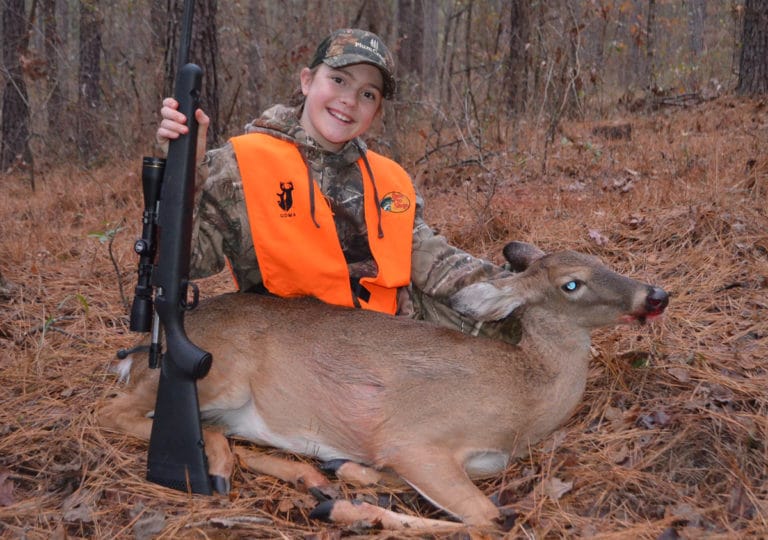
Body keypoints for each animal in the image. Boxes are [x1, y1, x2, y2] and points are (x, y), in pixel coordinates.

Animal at [97, 241, 668, 531]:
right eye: (572, 283)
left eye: (601, 261)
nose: (656, 294)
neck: (525, 398)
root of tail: (140, 353)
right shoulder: (414, 439)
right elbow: (487, 520)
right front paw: (352, 511)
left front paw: (346, 476)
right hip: (220, 375)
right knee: (115, 412)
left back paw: (304, 476)